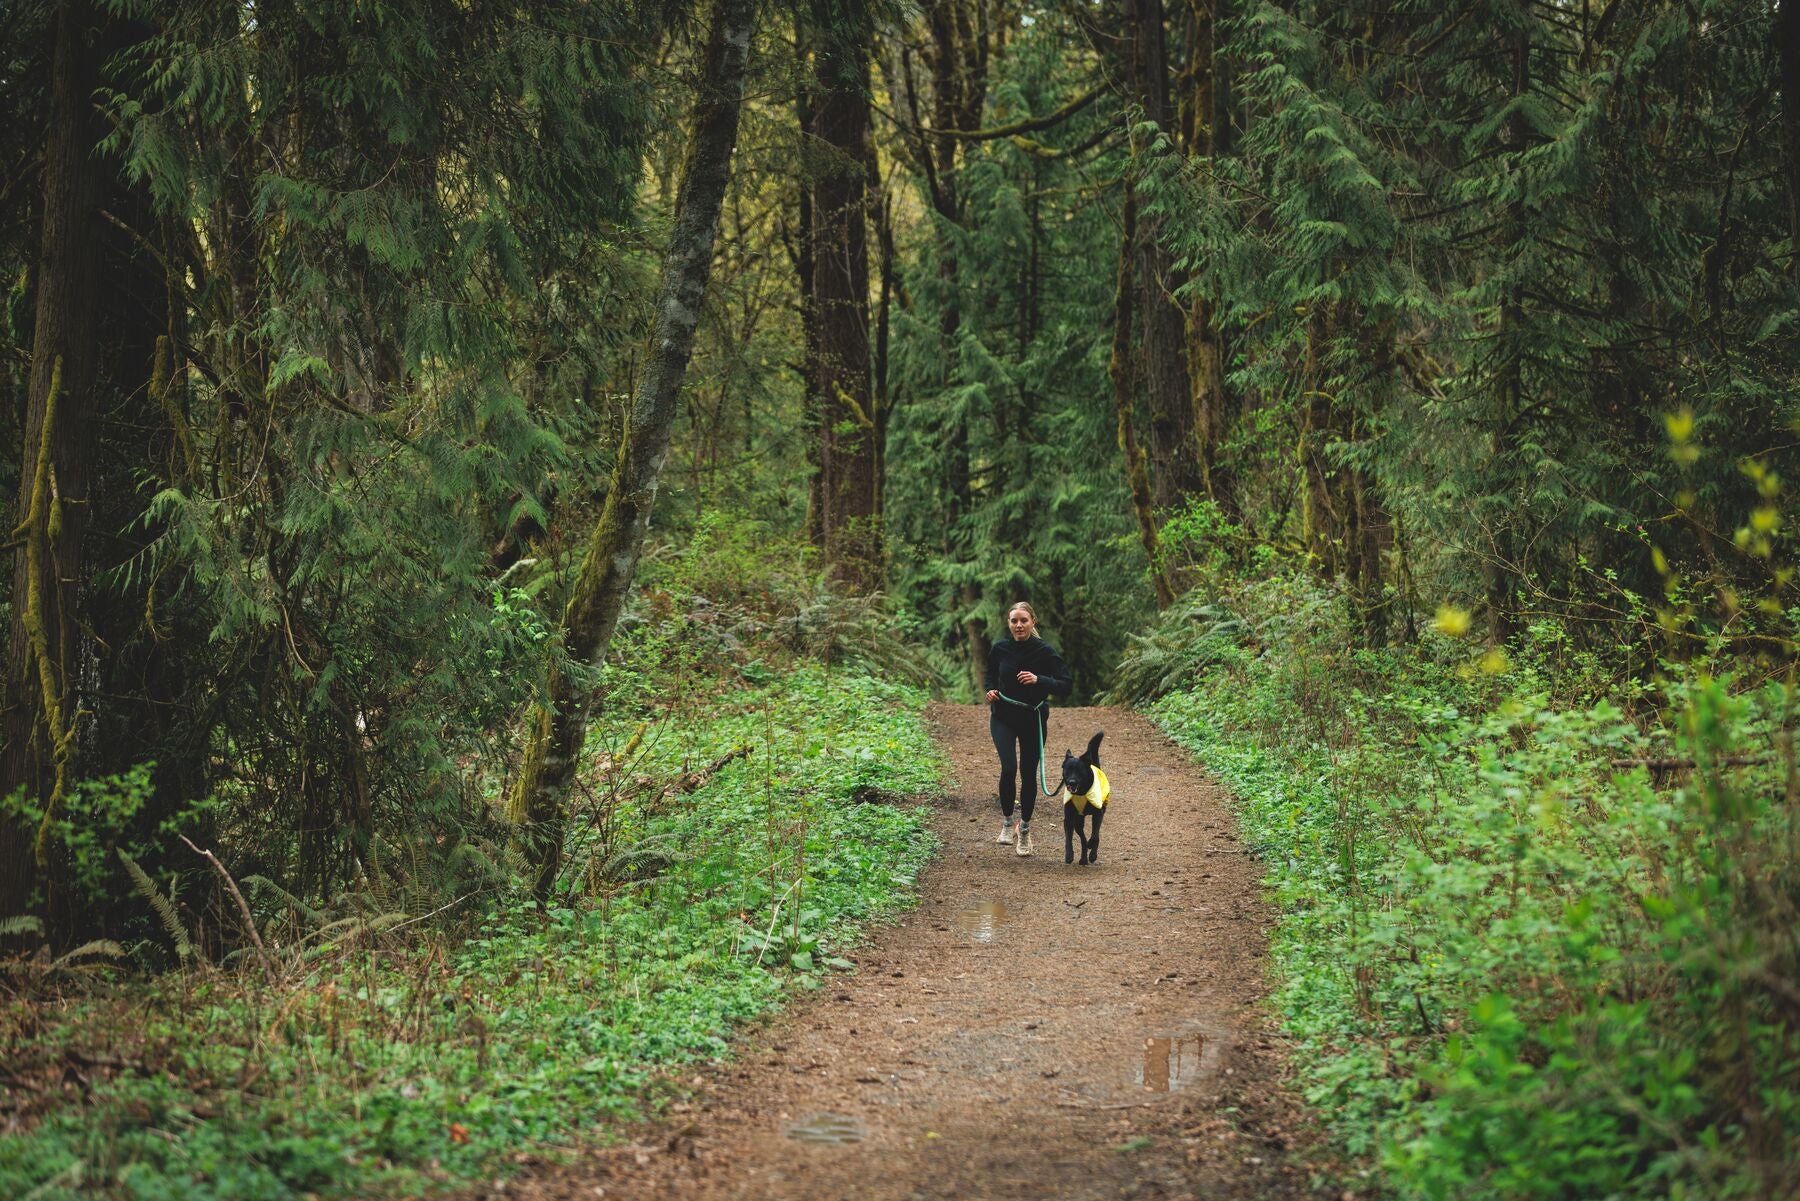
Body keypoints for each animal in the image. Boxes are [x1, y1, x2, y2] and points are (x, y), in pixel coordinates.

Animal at [1051, 734, 1108, 864]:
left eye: (1079, 771)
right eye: (1067, 770)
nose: (1072, 782)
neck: (1081, 793)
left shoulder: (1098, 813)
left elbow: (1095, 835)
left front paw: (1092, 847)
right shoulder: (1069, 818)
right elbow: (1068, 837)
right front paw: (1069, 854)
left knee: (1093, 836)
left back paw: (1091, 854)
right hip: (1078, 821)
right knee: (1082, 838)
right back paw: (1083, 858)